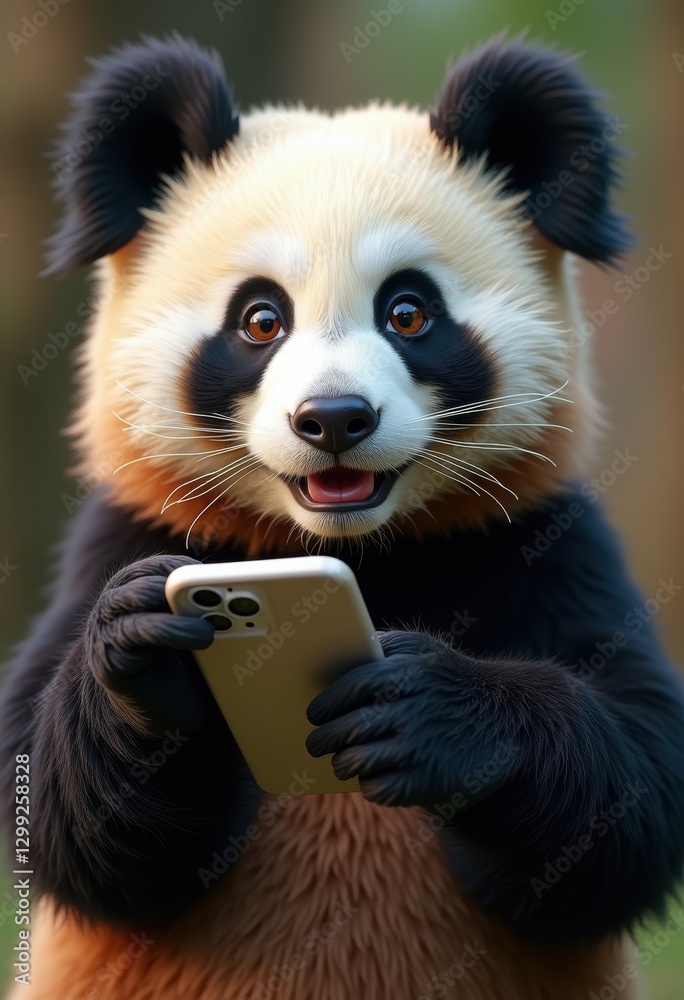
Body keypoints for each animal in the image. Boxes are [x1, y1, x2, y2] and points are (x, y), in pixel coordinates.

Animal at [2, 30, 684, 1000]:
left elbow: (635, 791)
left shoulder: (539, 541)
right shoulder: (125, 532)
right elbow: (58, 813)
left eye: (408, 311)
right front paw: (146, 658)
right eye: (260, 319)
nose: (333, 420)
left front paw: (433, 713)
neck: (357, 551)